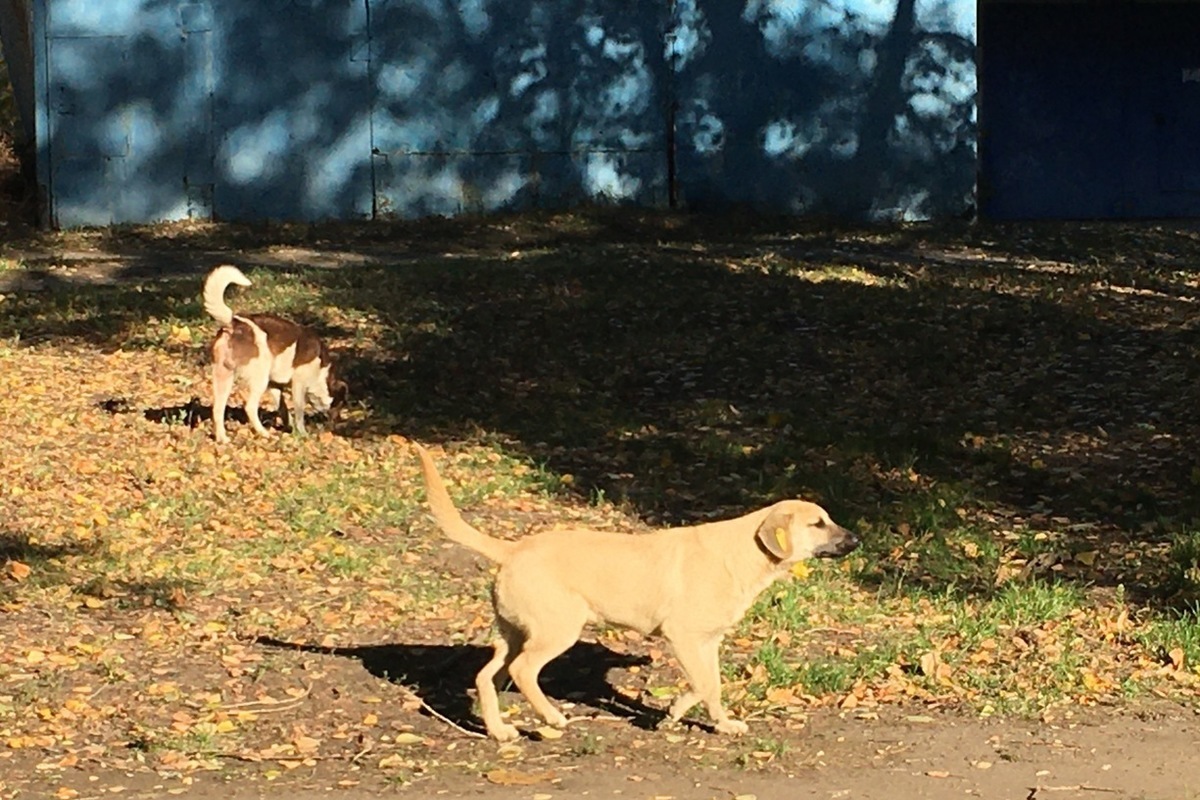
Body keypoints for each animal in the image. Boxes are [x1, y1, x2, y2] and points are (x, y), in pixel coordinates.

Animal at [202, 267, 348, 443]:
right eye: (341, 404)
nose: (338, 425)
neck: (322, 372)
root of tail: (234, 323)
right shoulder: (298, 384)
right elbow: (299, 414)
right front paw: (302, 433)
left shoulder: (275, 386)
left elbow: (284, 410)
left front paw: (291, 429)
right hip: (259, 377)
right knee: (250, 407)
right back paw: (263, 433)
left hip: (223, 376)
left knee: (218, 409)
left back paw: (222, 438)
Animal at [417, 443, 859, 743]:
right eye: (818, 524)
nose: (855, 540)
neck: (743, 551)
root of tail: (512, 549)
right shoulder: (682, 636)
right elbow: (703, 685)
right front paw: (672, 712)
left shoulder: (708, 643)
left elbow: (712, 685)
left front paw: (719, 723)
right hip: (557, 631)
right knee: (524, 672)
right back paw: (552, 718)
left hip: (516, 634)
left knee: (486, 676)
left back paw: (500, 731)